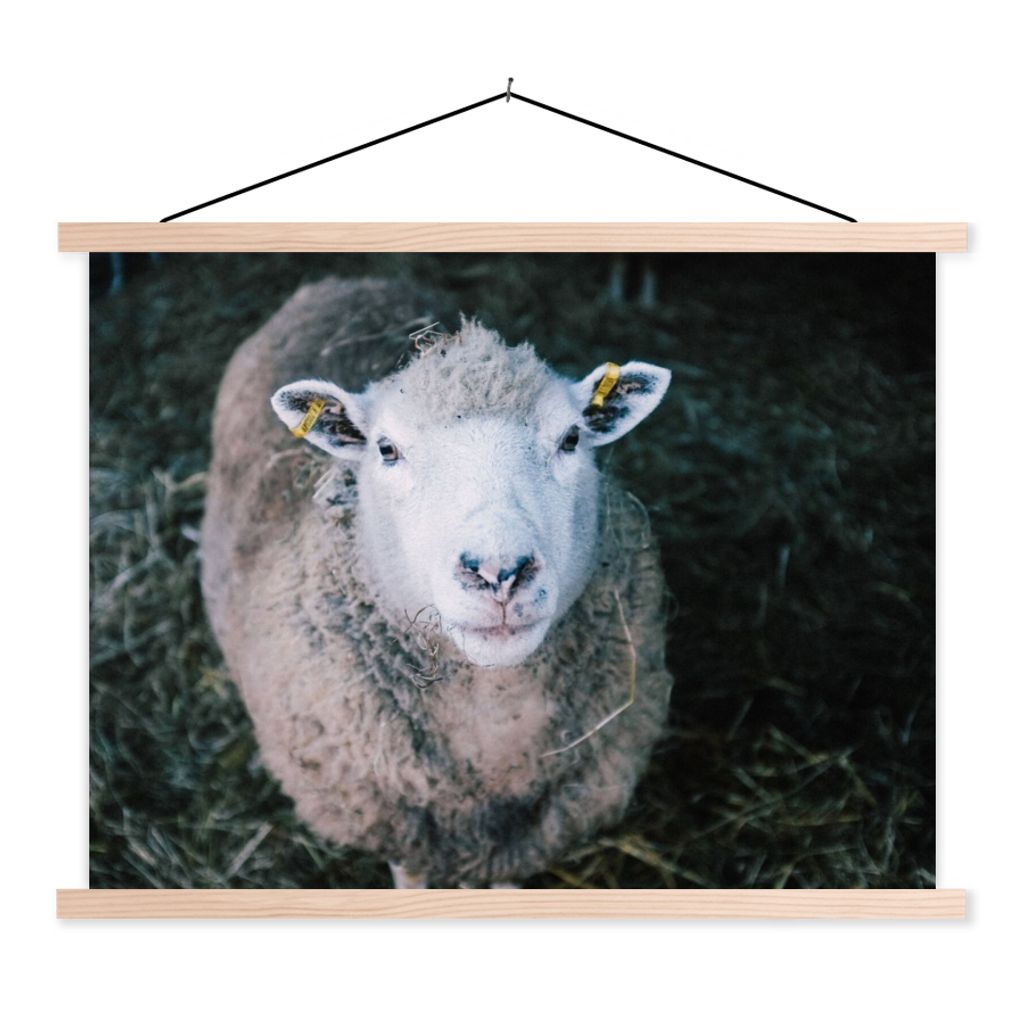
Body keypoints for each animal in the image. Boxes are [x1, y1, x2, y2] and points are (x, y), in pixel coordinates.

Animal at [200, 276, 674, 887]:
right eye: (386, 449)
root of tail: (345, 283)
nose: (499, 573)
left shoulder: (527, 837)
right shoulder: (396, 822)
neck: (494, 724)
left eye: (571, 439)